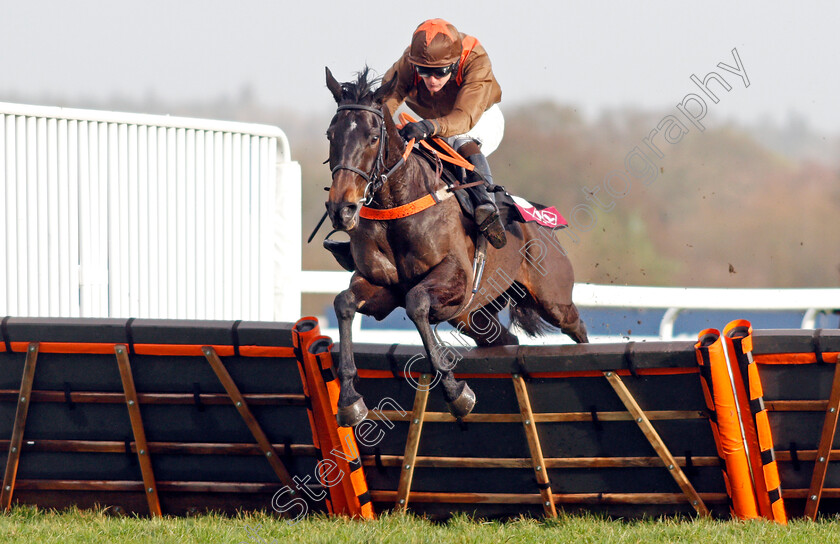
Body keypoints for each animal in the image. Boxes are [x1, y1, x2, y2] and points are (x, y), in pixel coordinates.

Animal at [324, 67, 588, 430]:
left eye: (373, 137)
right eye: (331, 135)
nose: (342, 209)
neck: (397, 202)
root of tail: (539, 218)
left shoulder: (455, 277)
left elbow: (417, 303)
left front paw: (455, 392)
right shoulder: (382, 287)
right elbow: (344, 303)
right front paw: (350, 399)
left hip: (553, 298)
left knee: (577, 328)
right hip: (473, 316)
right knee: (505, 340)